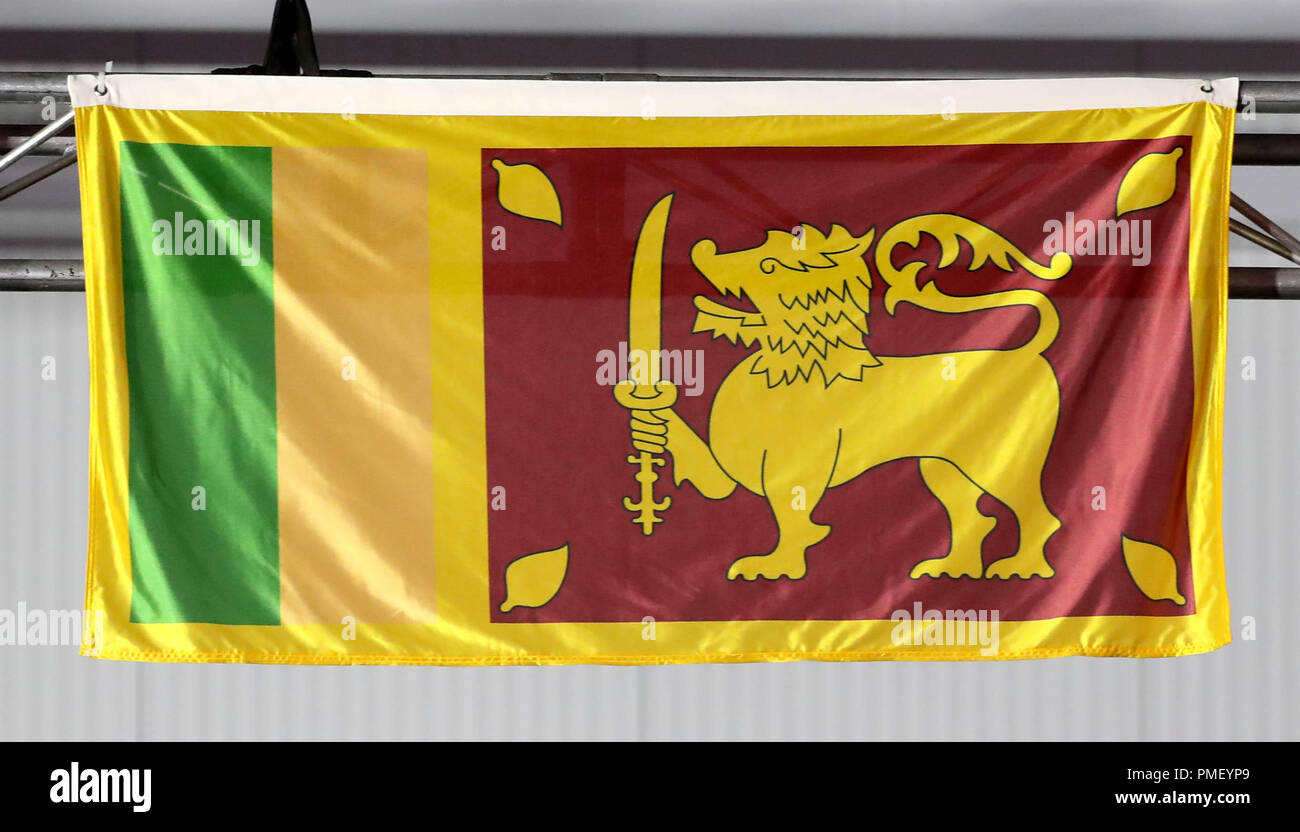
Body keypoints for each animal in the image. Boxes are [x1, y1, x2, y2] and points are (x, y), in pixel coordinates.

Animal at [634, 214, 1071, 582]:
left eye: (768, 265)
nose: (703, 250)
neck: (793, 367)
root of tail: (1024, 353)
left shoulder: (796, 472)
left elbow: (792, 521)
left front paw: (778, 567)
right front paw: (650, 412)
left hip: (1000, 462)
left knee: (1037, 515)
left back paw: (1022, 568)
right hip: (943, 466)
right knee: (975, 519)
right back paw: (951, 568)